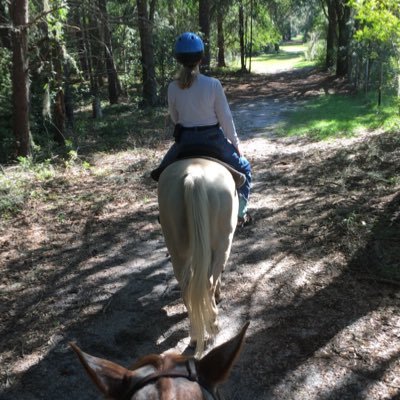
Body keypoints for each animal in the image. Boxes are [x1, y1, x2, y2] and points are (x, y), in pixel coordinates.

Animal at [157, 158, 239, 354]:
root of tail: (193, 177)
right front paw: (218, 295)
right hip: (223, 244)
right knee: (208, 283)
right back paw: (214, 326)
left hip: (177, 250)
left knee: (187, 288)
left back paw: (195, 337)